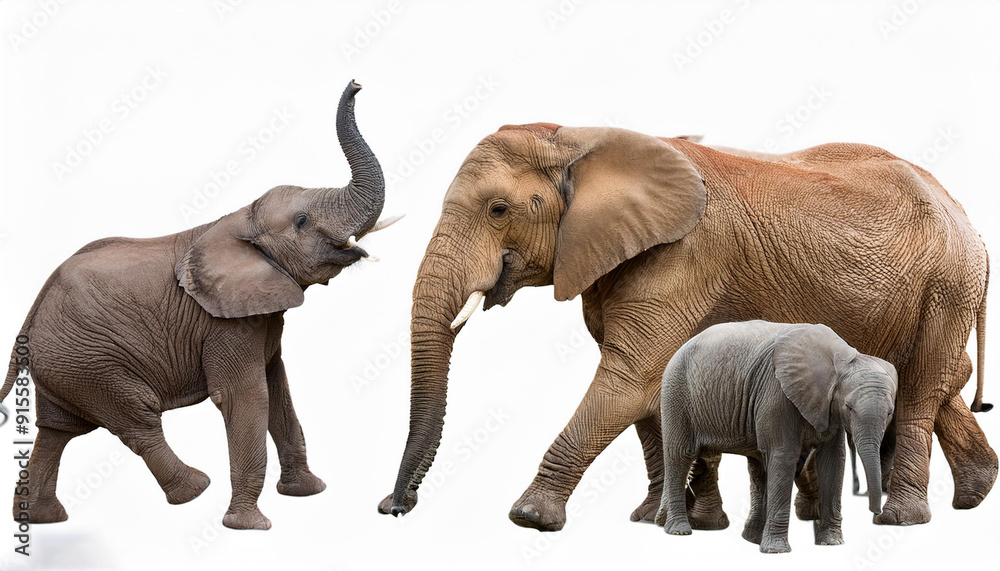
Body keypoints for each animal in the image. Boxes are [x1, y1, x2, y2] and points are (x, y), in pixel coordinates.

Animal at [0, 80, 395, 530]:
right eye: (301, 222)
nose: (357, 84)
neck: (240, 218)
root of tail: (31, 312)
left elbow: (279, 391)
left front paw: (308, 493)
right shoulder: (222, 324)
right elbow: (246, 397)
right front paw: (248, 527)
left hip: (64, 362)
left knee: (57, 430)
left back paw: (42, 519)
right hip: (88, 359)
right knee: (136, 416)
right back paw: (195, 489)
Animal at [652, 321, 897, 553]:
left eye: (889, 413)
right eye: (849, 407)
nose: (876, 513)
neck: (842, 358)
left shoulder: (828, 409)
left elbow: (833, 462)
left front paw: (832, 543)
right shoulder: (777, 395)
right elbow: (784, 457)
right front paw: (776, 551)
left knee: (758, 467)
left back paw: (750, 538)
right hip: (676, 394)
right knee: (680, 455)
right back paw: (679, 531)